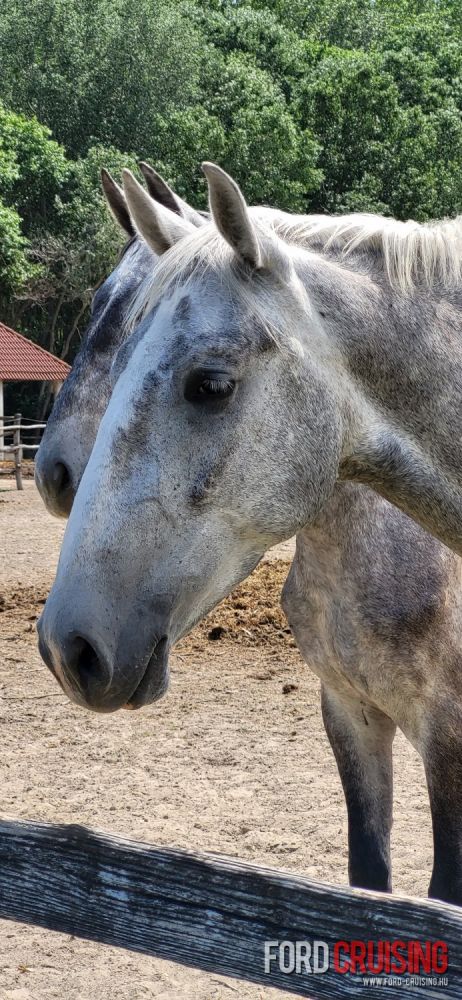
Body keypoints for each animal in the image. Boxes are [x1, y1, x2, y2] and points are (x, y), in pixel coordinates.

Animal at [38, 166, 462, 908]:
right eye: (103, 310)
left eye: (211, 384)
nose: (71, 649)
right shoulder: (350, 713)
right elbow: (369, 879)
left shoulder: (449, 739)